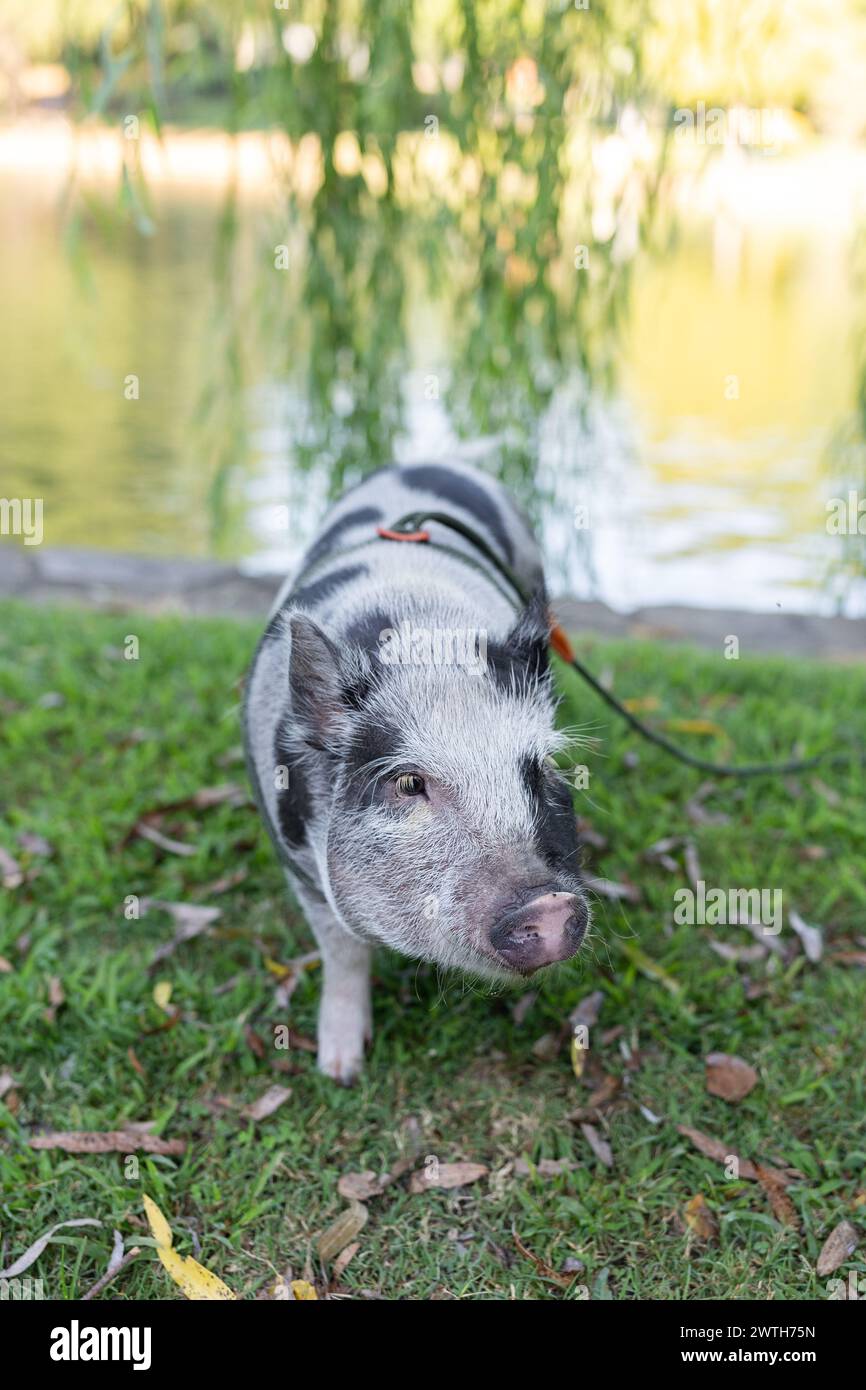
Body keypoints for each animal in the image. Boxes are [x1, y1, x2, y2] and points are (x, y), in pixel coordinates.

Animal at [244, 462, 589, 1082]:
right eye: (408, 783)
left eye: (541, 766)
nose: (548, 904)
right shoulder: (298, 864)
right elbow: (342, 952)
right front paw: (340, 1070)